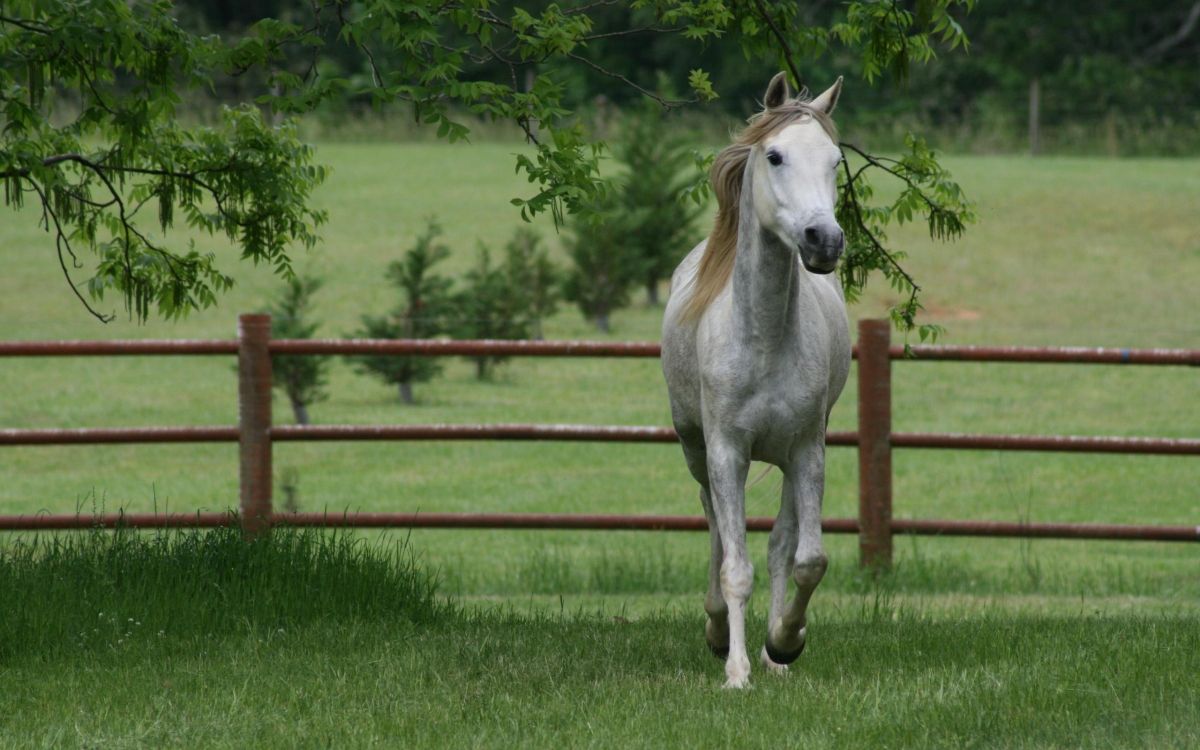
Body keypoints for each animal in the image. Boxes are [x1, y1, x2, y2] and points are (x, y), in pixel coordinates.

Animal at [660, 72, 851, 689]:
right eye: (775, 156)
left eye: (835, 161)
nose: (824, 241)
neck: (763, 339)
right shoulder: (726, 452)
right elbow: (735, 566)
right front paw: (736, 671)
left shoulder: (807, 451)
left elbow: (804, 558)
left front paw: (784, 643)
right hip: (697, 452)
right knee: (717, 531)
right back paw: (719, 632)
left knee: (779, 545)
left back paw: (772, 655)